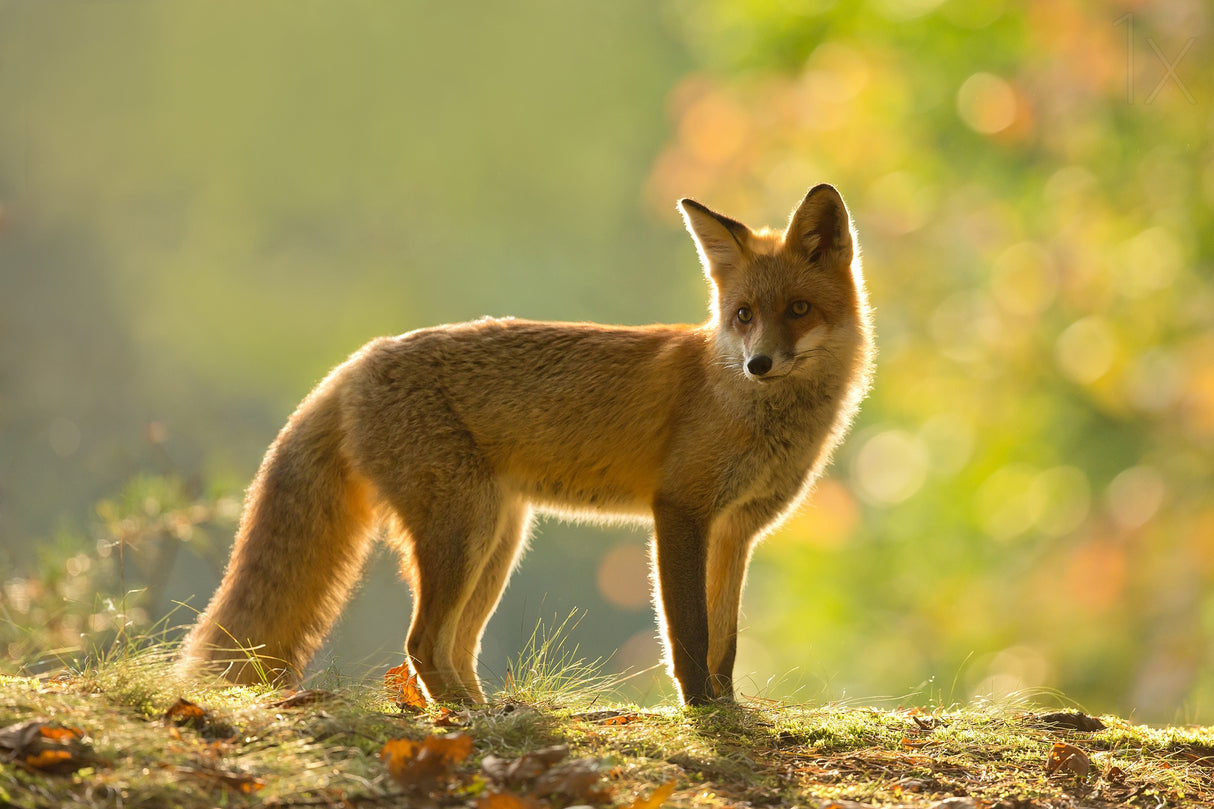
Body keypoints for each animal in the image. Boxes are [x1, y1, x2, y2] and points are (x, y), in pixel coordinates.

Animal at [178, 184, 874, 706]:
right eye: (744, 316)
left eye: (799, 309)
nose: (758, 364)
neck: (749, 408)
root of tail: (357, 361)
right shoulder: (680, 512)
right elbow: (688, 634)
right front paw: (701, 710)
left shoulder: (735, 532)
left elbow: (724, 641)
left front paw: (728, 707)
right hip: (465, 531)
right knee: (420, 643)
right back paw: (463, 719)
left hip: (497, 540)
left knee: (452, 646)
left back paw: (480, 709)